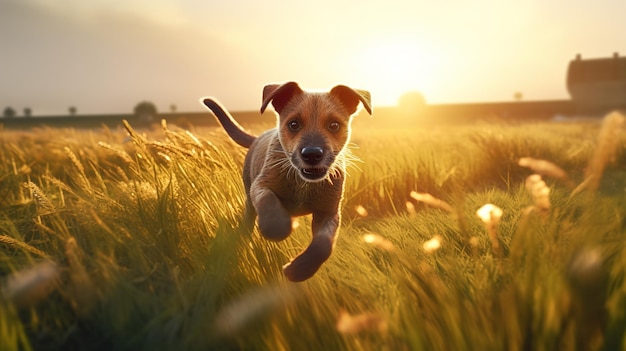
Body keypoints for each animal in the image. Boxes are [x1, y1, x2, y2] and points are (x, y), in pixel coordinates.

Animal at [202, 82, 370, 284]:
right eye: (294, 124)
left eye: (334, 125)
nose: (312, 154)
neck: (303, 183)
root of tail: (257, 138)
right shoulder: (261, 185)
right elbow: (269, 202)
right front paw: (277, 228)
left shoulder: (329, 211)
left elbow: (324, 245)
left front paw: (299, 270)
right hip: (249, 197)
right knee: (248, 221)